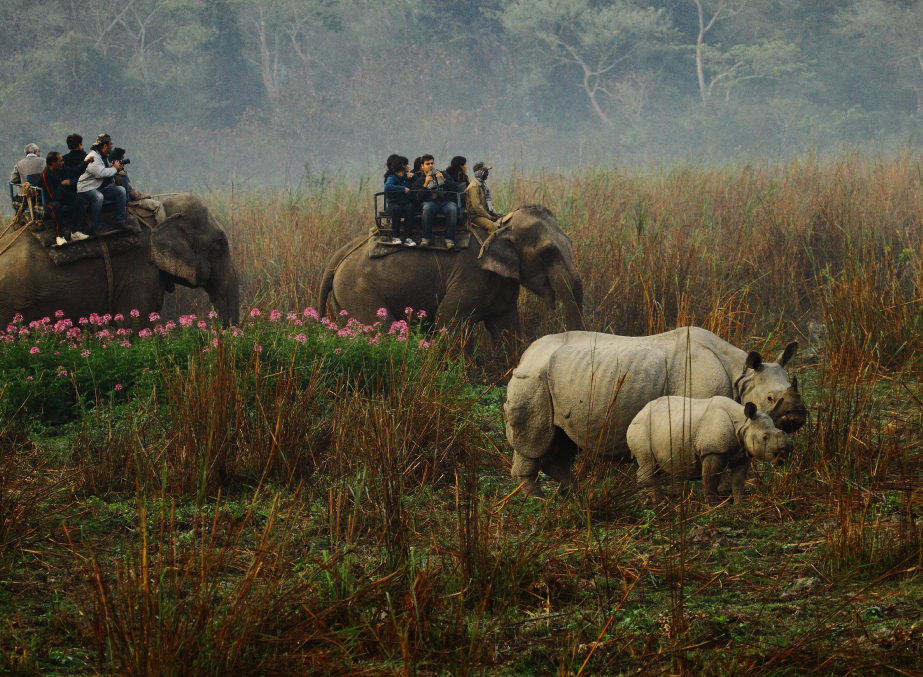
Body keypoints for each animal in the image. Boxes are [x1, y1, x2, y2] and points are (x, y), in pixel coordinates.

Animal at [314, 205, 580, 344]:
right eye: (547, 253)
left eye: (570, 243)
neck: (500, 225)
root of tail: (341, 253)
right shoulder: (472, 274)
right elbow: (448, 318)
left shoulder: (499, 283)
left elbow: (507, 327)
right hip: (358, 291)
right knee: (382, 330)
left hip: (345, 297)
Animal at [628, 396, 796, 502]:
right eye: (765, 437)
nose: (785, 450)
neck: (743, 423)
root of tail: (639, 412)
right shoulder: (712, 450)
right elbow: (711, 479)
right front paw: (711, 506)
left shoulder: (743, 452)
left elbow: (738, 480)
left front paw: (740, 503)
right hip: (640, 426)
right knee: (647, 463)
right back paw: (656, 503)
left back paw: (675, 499)